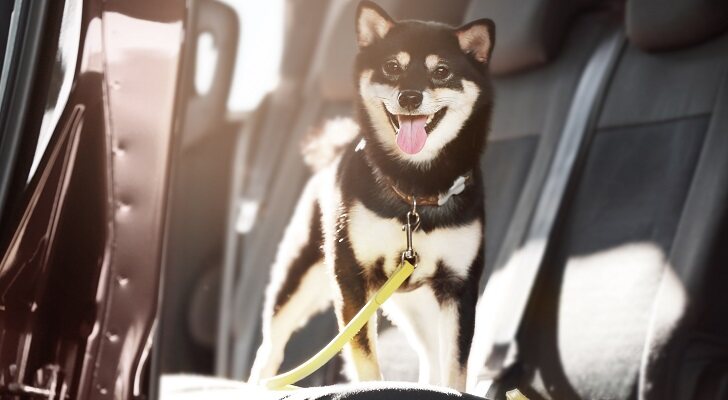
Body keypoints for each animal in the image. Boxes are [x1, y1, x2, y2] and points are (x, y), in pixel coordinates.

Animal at [249, 0, 494, 390]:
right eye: (392, 66)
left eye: (441, 71)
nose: (410, 97)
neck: (415, 190)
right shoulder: (352, 277)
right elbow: (364, 357)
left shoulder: (459, 286)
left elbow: (454, 368)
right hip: (299, 279)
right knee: (270, 346)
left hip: (413, 302)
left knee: (429, 353)